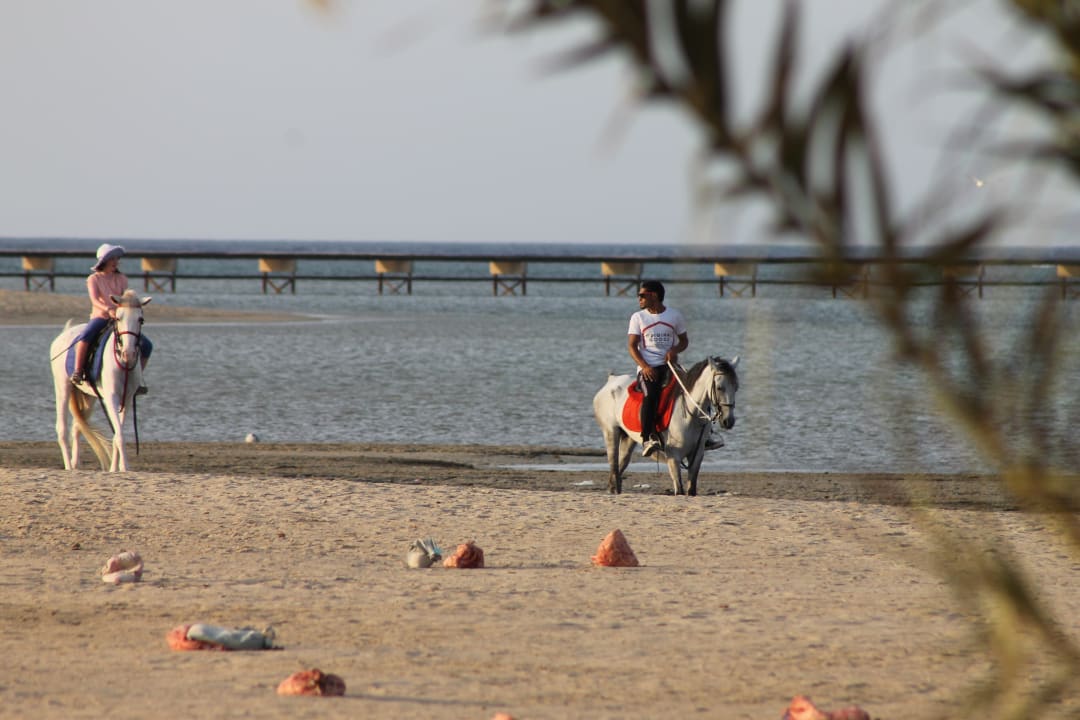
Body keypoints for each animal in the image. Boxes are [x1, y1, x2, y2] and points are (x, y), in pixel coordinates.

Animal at [49, 290, 151, 472]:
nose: (128, 353)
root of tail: (64, 334)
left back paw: (75, 464)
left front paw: (115, 469)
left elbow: (118, 433)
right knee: (62, 429)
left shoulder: (126, 399)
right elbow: (119, 435)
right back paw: (69, 467)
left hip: (88, 397)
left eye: (141, 319)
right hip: (62, 388)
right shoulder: (111, 398)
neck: (123, 363)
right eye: (118, 318)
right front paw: (125, 467)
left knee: (77, 426)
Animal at [593, 356, 739, 496]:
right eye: (719, 387)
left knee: (621, 464)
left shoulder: (697, 454)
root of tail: (611, 381)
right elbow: (679, 490)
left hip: (628, 438)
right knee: (613, 463)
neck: (691, 413)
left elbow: (691, 489)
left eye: (736, 387)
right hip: (611, 432)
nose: (728, 421)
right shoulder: (673, 455)